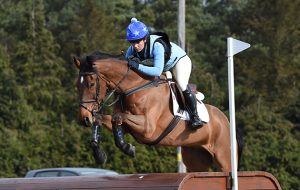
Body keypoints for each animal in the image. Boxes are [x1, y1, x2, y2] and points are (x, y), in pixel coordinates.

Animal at [73, 51, 244, 172]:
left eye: (91, 84)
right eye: (77, 85)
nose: (84, 118)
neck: (134, 87)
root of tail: (226, 121)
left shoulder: (147, 128)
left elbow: (117, 117)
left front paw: (127, 148)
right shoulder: (129, 125)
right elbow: (105, 119)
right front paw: (100, 154)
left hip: (225, 160)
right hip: (196, 160)